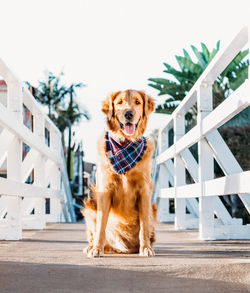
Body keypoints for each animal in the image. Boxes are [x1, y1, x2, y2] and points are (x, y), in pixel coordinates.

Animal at [82, 88, 156, 256]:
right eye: (120, 102)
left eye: (137, 102)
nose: (128, 114)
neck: (125, 144)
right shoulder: (105, 189)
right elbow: (101, 226)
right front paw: (97, 249)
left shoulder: (144, 190)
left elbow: (144, 226)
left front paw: (146, 248)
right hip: (90, 208)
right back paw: (92, 246)